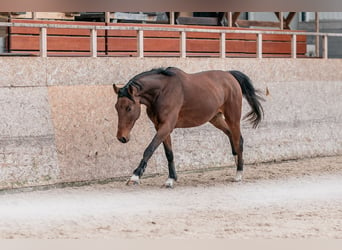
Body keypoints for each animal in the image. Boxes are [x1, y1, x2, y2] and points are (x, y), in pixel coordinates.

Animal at [113, 66, 264, 188]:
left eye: (129, 108)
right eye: (116, 107)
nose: (122, 137)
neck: (162, 91)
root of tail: (229, 75)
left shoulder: (166, 126)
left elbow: (149, 149)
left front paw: (135, 176)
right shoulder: (161, 127)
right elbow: (169, 154)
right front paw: (171, 179)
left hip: (233, 118)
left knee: (238, 140)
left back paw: (239, 173)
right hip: (216, 119)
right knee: (232, 136)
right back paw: (237, 162)